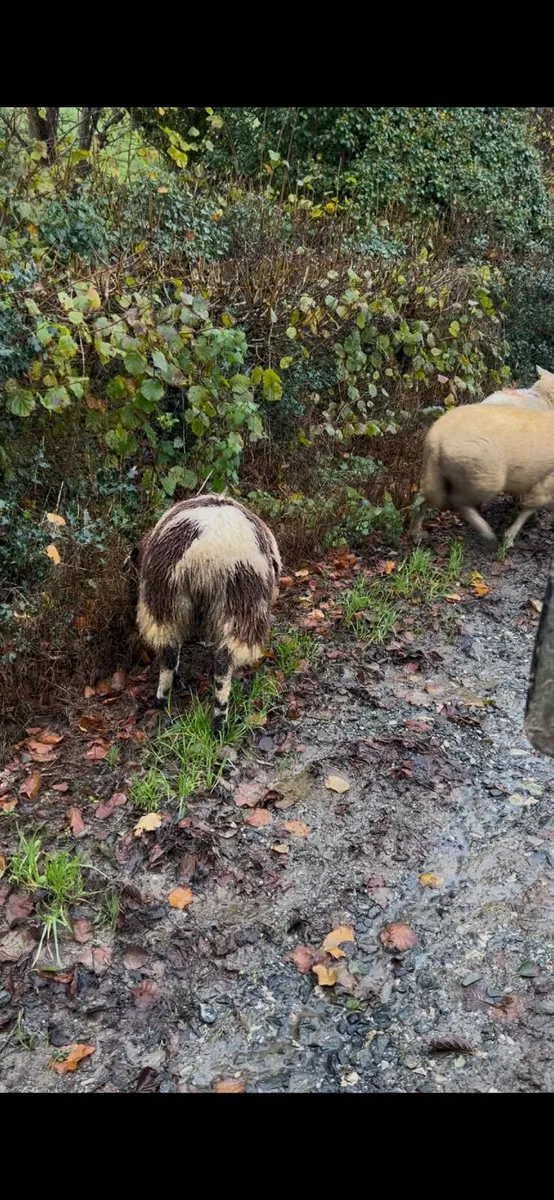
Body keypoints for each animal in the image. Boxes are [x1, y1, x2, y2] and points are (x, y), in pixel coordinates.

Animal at [136, 495, 281, 732]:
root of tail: (204, 553)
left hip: (164, 599)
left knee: (168, 650)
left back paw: (162, 697)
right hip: (242, 604)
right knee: (223, 664)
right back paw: (220, 720)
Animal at [410, 403, 554, 548]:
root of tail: (436, 437)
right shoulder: (546, 484)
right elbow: (529, 509)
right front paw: (509, 538)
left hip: (435, 474)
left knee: (424, 498)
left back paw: (416, 534)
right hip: (484, 478)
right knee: (456, 501)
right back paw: (487, 533)